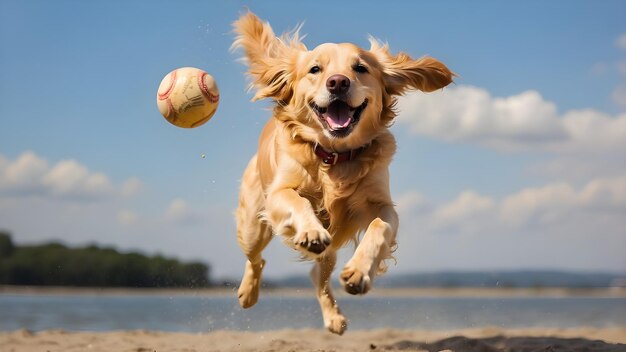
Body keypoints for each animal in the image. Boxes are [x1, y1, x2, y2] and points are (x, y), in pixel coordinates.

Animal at [232, 12, 450, 334]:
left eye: (360, 68)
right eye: (315, 69)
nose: (338, 82)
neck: (335, 156)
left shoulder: (381, 205)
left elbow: (379, 228)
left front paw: (359, 272)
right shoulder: (280, 193)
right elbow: (298, 201)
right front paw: (310, 230)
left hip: (329, 249)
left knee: (317, 275)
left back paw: (334, 317)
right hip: (252, 225)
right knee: (255, 258)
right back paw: (248, 293)